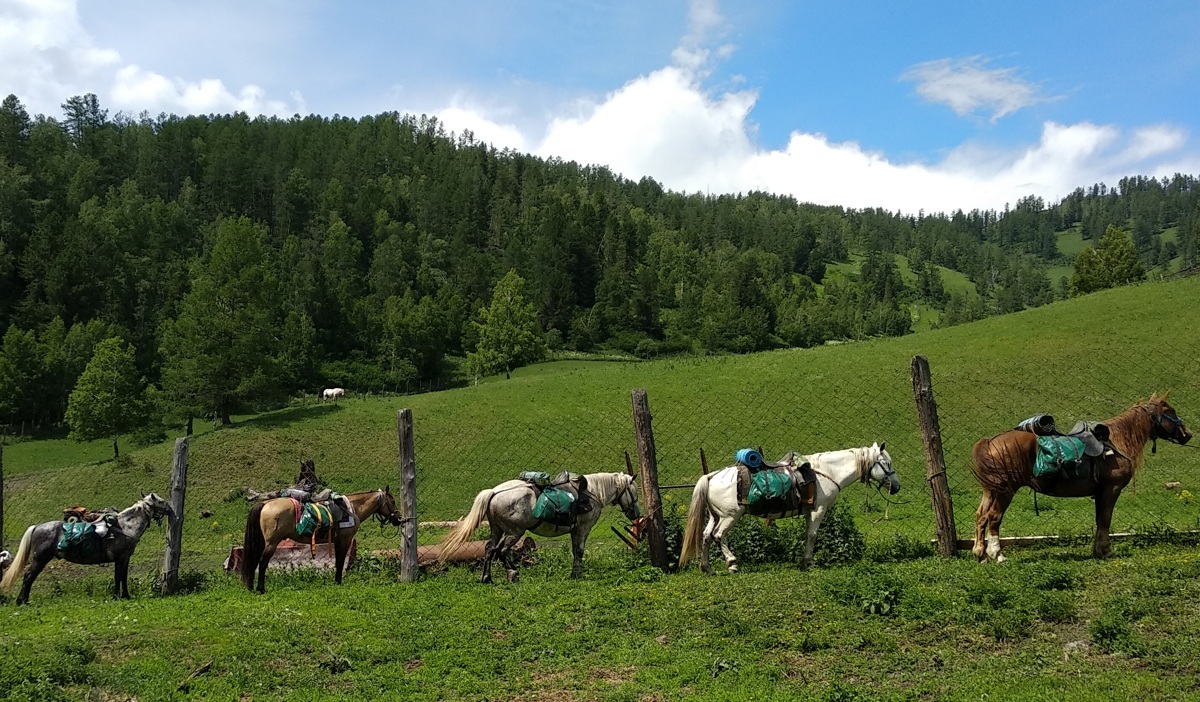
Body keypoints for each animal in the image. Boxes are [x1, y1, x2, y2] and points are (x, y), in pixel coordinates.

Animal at [0, 492, 174, 602]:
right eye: (161, 501)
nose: (171, 510)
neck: (126, 527)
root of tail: (37, 527)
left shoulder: (122, 559)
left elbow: (120, 577)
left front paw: (121, 595)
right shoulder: (122, 558)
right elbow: (120, 577)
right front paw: (122, 596)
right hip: (40, 559)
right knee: (28, 576)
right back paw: (22, 601)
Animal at [238, 487, 398, 590]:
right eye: (393, 501)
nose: (399, 518)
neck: (353, 507)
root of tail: (265, 504)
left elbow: (338, 563)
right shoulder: (344, 540)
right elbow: (340, 562)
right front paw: (338, 582)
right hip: (271, 543)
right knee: (262, 563)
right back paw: (260, 588)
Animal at [439, 470, 643, 580]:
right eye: (634, 492)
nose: (636, 514)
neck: (592, 493)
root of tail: (495, 492)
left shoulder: (575, 530)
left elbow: (575, 550)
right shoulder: (582, 529)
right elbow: (579, 551)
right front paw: (577, 574)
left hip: (496, 530)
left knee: (490, 549)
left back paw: (487, 578)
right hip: (515, 532)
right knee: (502, 551)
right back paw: (513, 572)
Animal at [681, 444, 897, 576]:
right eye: (886, 463)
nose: (896, 487)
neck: (826, 471)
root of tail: (711, 476)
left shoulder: (810, 512)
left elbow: (807, 534)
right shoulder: (818, 510)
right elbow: (812, 535)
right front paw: (809, 562)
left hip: (715, 516)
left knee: (706, 536)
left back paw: (707, 568)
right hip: (729, 516)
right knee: (718, 536)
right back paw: (732, 564)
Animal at [974, 391, 1190, 561]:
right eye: (1171, 412)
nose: (1188, 434)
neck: (1116, 441)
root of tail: (991, 442)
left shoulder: (1100, 492)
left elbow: (1099, 520)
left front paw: (1098, 551)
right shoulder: (1111, 489)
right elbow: (1105, 519)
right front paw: (1105, 551)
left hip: (991, 490)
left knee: (981, 516)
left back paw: (980, 553)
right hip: (1005, 491)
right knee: (994, 517)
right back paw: (997, 554)